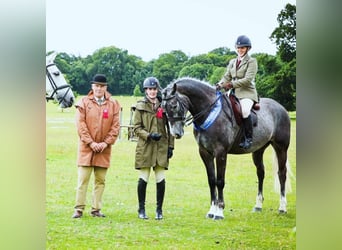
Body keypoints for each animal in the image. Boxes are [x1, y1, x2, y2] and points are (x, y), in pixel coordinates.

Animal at [162, 77, 290, 220]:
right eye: (163, 108)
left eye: (174, 105)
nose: (176, 133)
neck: (209, 112)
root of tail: (280, 107)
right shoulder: (205, 153)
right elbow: (211, 180)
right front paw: (211, 210)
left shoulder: (221, 153)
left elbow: (220, 181)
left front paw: (219, 212)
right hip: (258, 150)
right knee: (261, 172)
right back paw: (258, 206)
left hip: (281, 148)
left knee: (282, 173)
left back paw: (282, 207)